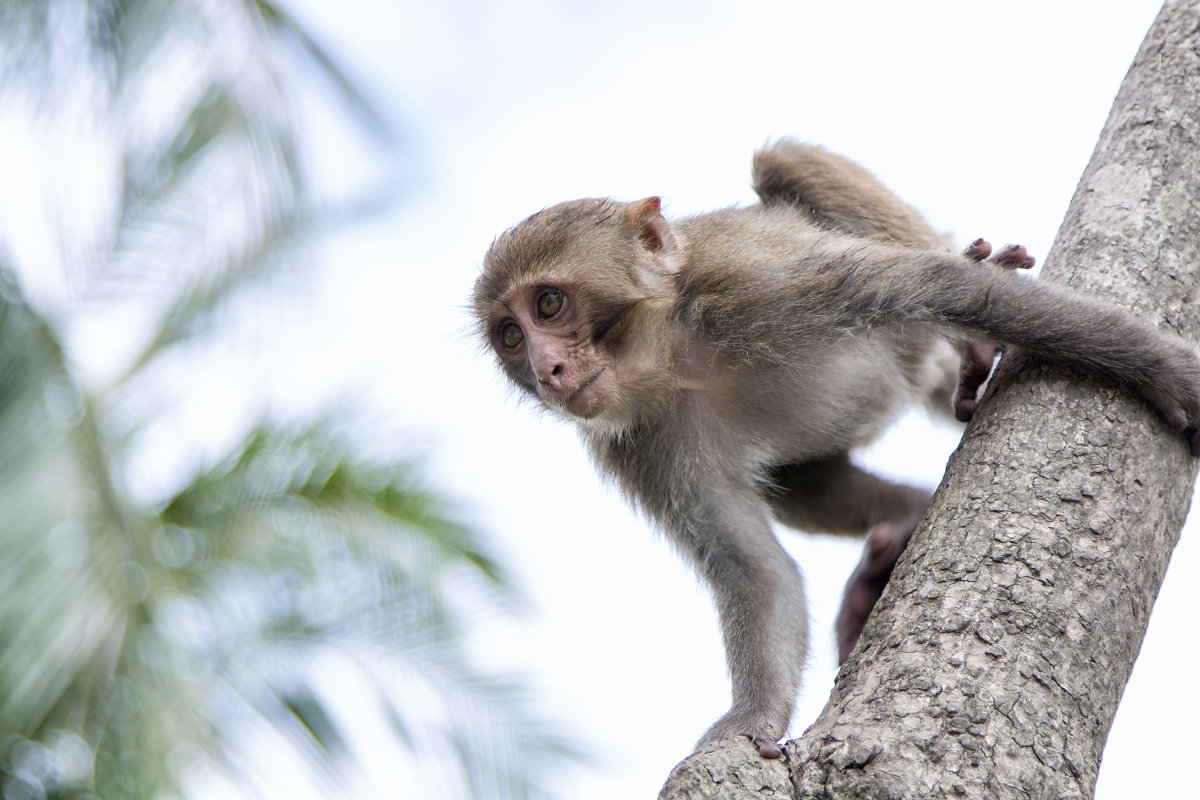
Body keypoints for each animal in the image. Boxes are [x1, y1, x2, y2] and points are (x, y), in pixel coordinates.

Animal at [472, 140, 1200, 762]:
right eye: (509, 336)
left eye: (549, 303)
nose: (547, 372)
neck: (677, 355)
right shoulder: (636, 441)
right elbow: (755, 570)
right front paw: (750, 719)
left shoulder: (761, 283)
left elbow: (944, 288)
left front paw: (1165, 371)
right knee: (800, 484)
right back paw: (901, 524)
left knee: (786, 162)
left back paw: (973, 344)